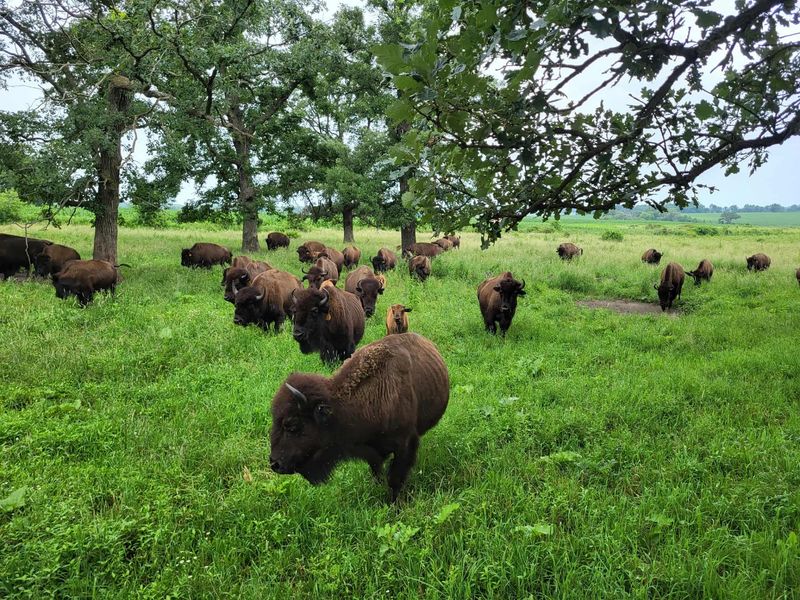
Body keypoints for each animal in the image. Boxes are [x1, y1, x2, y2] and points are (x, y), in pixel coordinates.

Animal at [269, 332, 449, 501]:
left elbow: (395, 479)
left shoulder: (405, 445)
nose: (274, 463)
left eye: (292, 425)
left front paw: (395, 504)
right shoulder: (371, 450)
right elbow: (376, 470)